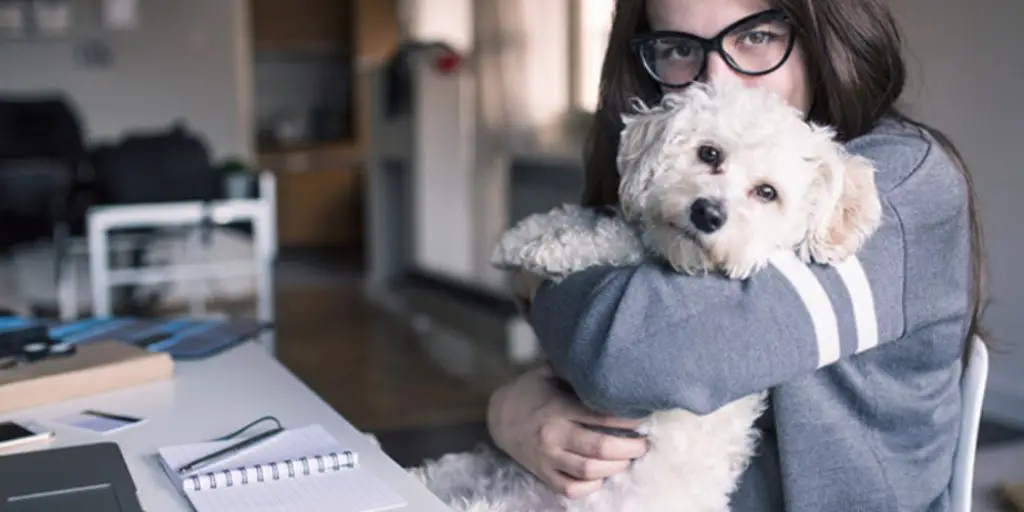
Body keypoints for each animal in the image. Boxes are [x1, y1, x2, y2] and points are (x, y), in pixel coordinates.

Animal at [407, 79, 880, 512]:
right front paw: (518, 237)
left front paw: (545, 250)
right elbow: (588, 215)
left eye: (767, 193)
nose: (707, 213)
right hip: (477, 468)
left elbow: (614, 237)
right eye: (710, 154)